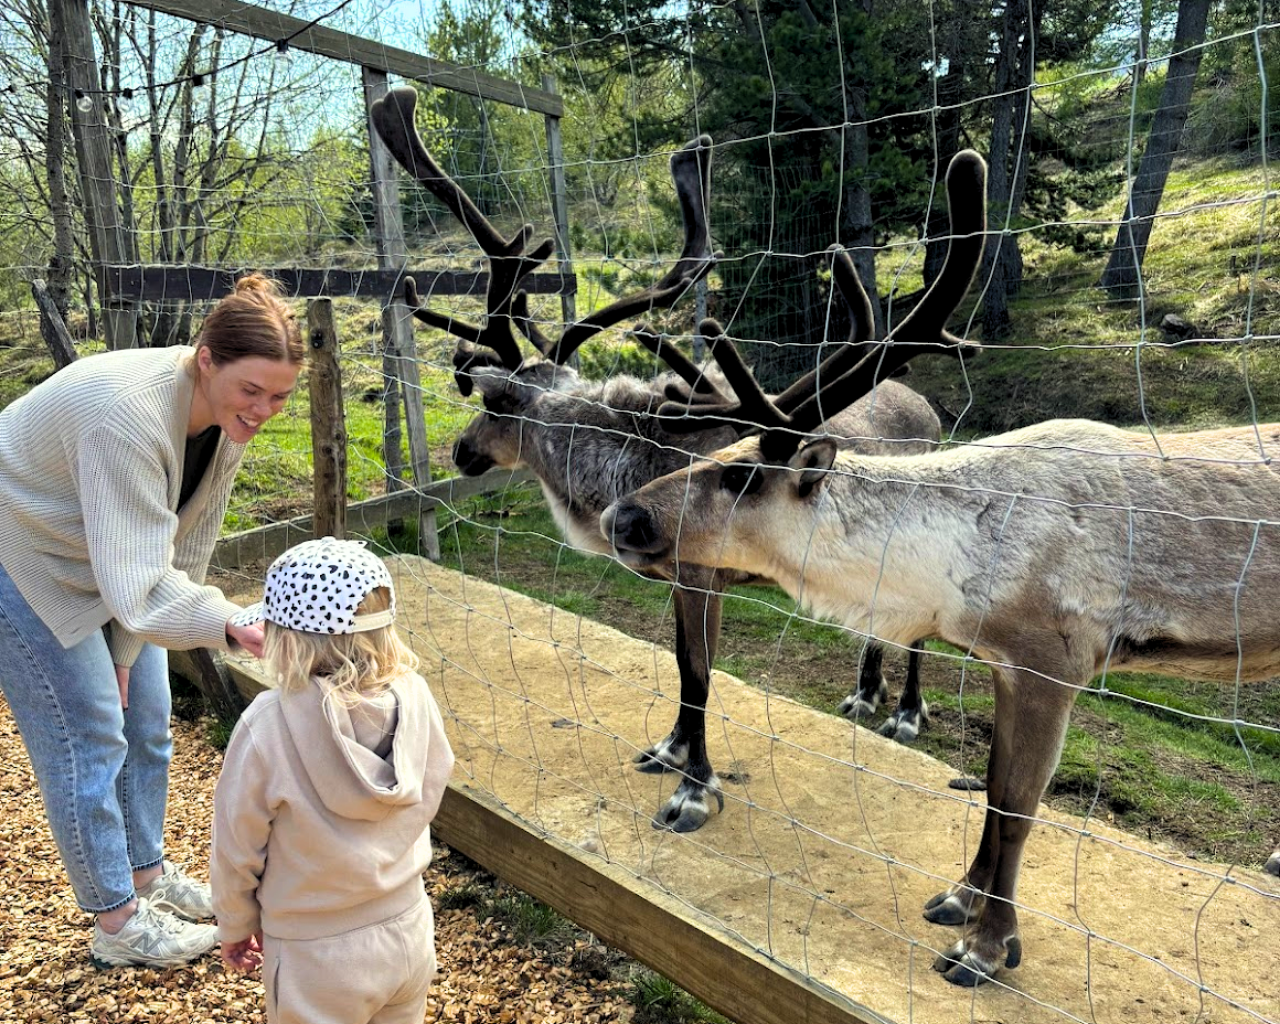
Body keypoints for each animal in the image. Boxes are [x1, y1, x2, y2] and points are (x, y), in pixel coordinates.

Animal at [369, 86, 951, 834]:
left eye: (496, 403)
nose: (461, 451)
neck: (628, 468)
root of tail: (928, 406)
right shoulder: (675, 580)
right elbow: (678, 664)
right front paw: (669, 747)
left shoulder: (703, 577)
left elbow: (701, 677)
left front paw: (693, 789)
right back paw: (865, 692)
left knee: (918, 631)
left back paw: (906, 711)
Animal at [601, 146, 1280, 985]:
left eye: (742, 475)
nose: (622, 516)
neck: (956, 562)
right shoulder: (1001, 665)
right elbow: (990, 791)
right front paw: (960, 898)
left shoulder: (1055, 662)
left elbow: (1018, 807)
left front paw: (987, 947)